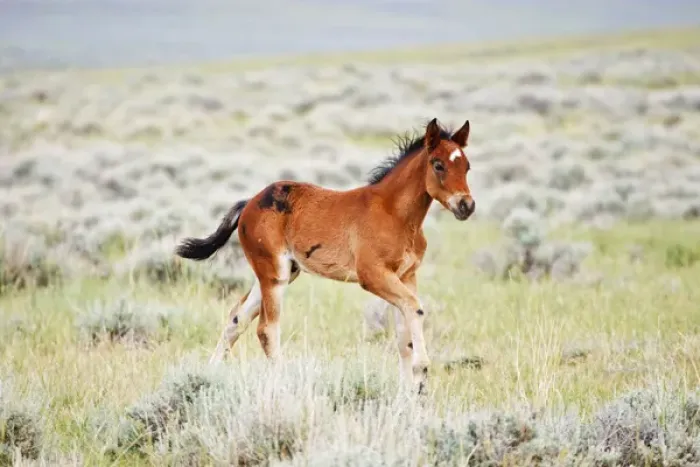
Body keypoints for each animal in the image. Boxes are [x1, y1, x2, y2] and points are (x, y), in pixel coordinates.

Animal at [175, 117, 475, 393]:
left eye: (467, 166)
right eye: (438, 164)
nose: (466, 205)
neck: (395, 214)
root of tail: (249, 203)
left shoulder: (406, 276)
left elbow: (404, 336)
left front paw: (409, 394)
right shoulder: (373, 275)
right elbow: (416, 308)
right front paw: (421, 375)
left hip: (280, 273)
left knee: (236, 319)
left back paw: (209, 375)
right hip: (274, 275)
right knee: (266, 329)